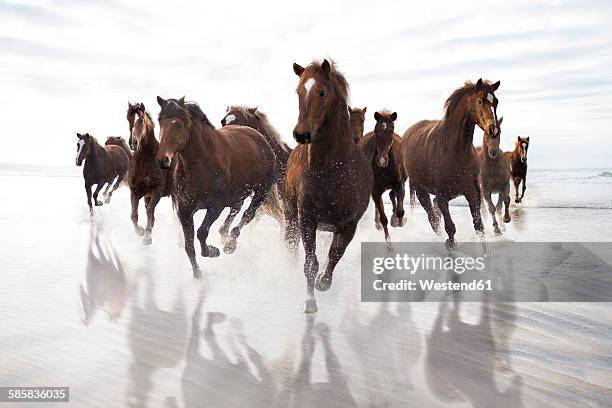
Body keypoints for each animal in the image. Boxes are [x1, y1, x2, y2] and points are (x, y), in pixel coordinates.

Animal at [123, 103, 173, 247]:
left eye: (140, 120)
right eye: (128, 118)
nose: (133, 143)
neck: (145, 159)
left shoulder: (157, 190)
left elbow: (149, 210)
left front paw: (147, 236)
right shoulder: (135, 191)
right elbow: (134, 214)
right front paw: (140, 231)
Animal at [155, 97, 278, 278]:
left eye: (178, 125)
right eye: (160, 122)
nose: (162, 160)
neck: (202, 163)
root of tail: (259, 137)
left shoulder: (215, 206)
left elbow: (201, 232)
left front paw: (213, 251)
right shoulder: (184, 209)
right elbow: (188, 243)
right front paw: (197, 273)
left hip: (261, 192)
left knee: (247, 215)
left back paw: (230, 245)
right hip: (239, 193)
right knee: (235, 210)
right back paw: (224, 236)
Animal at [284, 59, 372, 312]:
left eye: (322, 92)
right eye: (298, 91)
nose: (301, 134)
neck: (331, 171)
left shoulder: (349, 224)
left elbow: (334, 255)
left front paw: (323, 282)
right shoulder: (306, 218)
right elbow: (310, 263)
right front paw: (310, 301)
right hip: (291, 216)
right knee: (292, 246)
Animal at [358, 110, 406, 241]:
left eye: (391, 130)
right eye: (376, 130)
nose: (382, 160)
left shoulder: (399, 184)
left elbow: (400, 210)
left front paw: (399, 221)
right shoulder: (375, 190)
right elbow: (383, 216)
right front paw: (388, 241)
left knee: (392, 196)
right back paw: (378, 223)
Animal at [402, 77, 502, 249]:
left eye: (495, 101)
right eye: (480, 101)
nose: (493, 130)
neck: (454, 150)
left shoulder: (472, 192)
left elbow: (479, 226)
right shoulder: (441, 195)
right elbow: (450, 228)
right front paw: (450, 246)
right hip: (421, 191)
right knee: (433, 219)